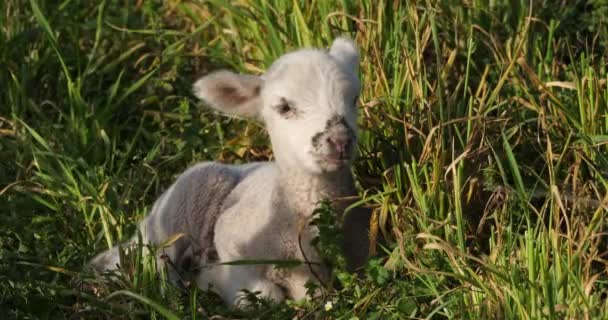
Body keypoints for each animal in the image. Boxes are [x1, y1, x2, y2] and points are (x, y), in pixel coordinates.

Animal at [90, 36, 370, 306]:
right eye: (284, 108)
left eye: (354, 99)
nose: (340, 140)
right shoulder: (230, 236)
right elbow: (265, 295)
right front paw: (213, 279)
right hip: (179, 209)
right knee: (155, 265)